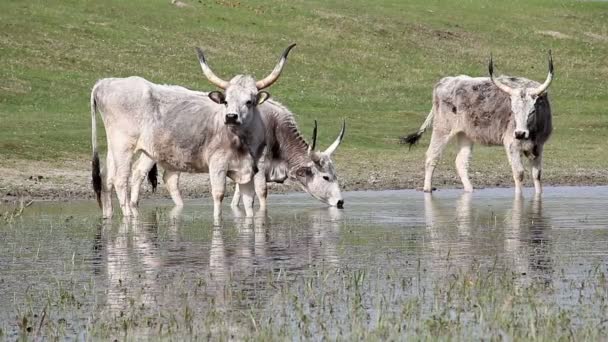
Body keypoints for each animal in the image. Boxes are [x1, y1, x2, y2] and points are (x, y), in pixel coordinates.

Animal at [91, 44, 296, 219]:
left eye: (249, 101)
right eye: (226, 101)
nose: (231, 117)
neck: (242, 141)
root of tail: (105, 83)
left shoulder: (248, 170)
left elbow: (249, 203)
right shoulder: (218, 164)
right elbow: (219, 195)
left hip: (115, 147)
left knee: (107, 177)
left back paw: (108, 215)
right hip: (123, 146)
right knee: (120, 180)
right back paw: (129, 217)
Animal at [140, 101, 344, 211]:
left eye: (336, 175)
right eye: (326, 177)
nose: (341, 202)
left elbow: (240, 192)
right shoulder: (260, 168)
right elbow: (262, 192)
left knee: (170, 179)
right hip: (149, 155)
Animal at [404, 51, 556, 194]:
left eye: (532, 111)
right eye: (512, 110)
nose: (519, 133)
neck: (532, 133)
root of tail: (447, 81)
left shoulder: (538, 146)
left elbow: (537, 175)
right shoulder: (512, 145)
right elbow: (519, 173)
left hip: (465, 134)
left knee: (461, 162)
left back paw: (470, 190)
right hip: (442, 129)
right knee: (432, 156)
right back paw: (427, 189)